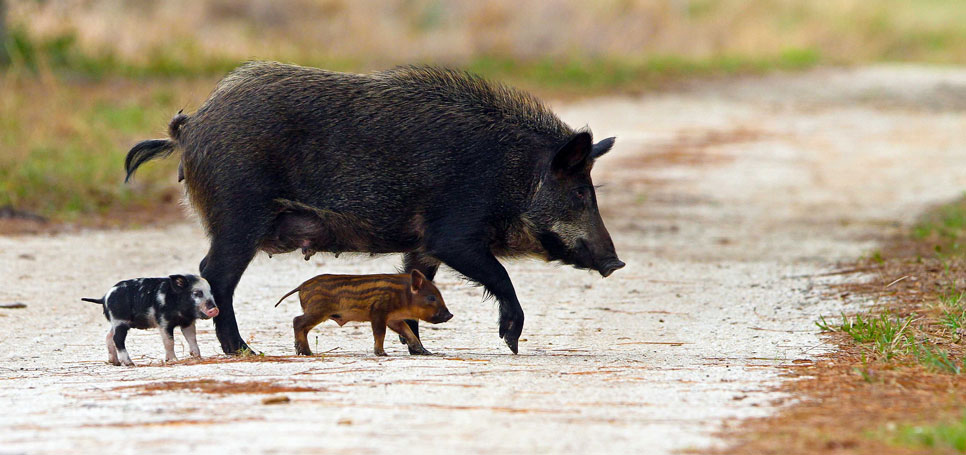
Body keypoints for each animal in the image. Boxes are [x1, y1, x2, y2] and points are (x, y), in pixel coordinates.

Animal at [82, 274, 219, 366]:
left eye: (211, 293)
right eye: (197, 293)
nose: (215, 309)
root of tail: (104, 297)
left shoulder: (187, 322)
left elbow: (192, 339)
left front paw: (198, 357)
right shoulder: (163, 322)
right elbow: (169, 342)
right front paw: (173, 360)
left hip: (115, 323)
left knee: (108, 336)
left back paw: (115, 362)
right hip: (119, 321)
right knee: (117, 339)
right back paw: (130, 363)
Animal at [272, 270, 454, 356]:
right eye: (431, 297)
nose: (450, 315)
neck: (403, 295)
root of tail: (301, 286)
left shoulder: (393, 319)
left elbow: (408, 331)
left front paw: (425, 352)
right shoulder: (378, 313)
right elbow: (380, 333)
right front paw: (382, 353)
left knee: (302, 326)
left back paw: (305, 352)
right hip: (317, 311)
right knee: (297, 321)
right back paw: (305, 352)